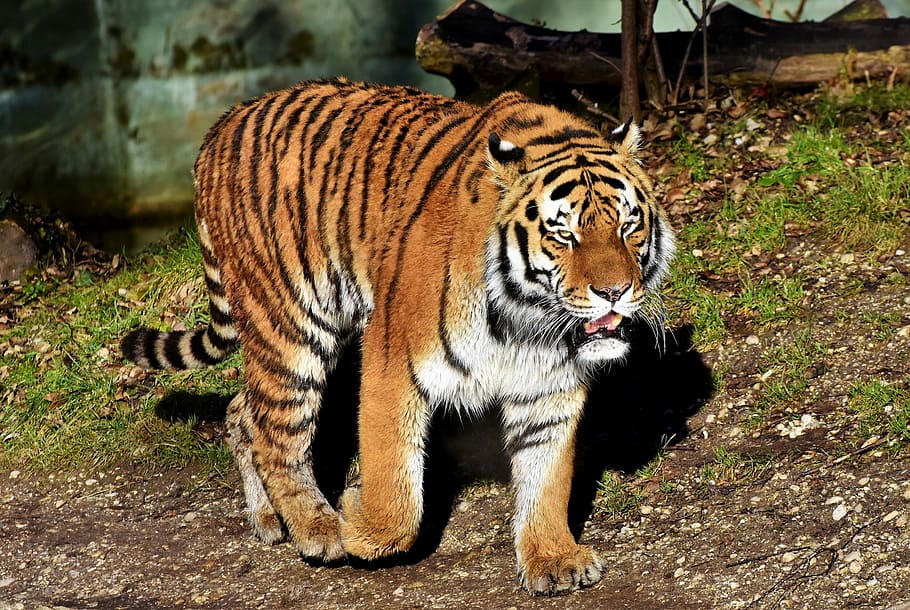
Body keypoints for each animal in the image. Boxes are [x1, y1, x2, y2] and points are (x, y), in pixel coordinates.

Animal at [121, 78, 675, 595]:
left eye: (628, 225)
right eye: (564, 234)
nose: (614, 292)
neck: (526, 317)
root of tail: (223, 124)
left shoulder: (548, 385)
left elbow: (547, 478)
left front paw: (553, 558)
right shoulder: (393, 357)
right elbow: (396, 487)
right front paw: (357, 522)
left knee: (243, 411)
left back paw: (269, 518)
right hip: (291, 327)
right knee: (277, 435)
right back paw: (318, 528)